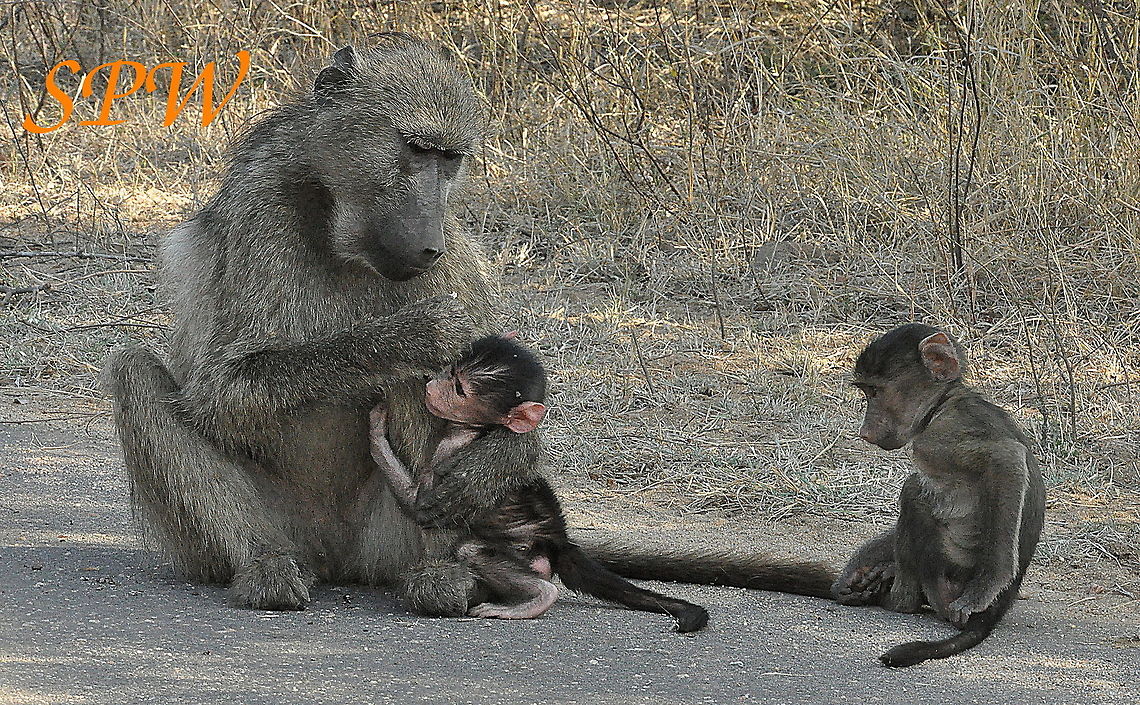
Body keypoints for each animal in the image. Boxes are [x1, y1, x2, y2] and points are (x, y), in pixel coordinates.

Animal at [104, 36, 542, 616]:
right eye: (415, 148)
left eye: (450, 159)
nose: (429, 242)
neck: (345, 232)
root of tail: (334, 559)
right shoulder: (259, 210)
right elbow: (219, 391)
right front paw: (411, 335)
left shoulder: (455, 264)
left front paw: (491, 466)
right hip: (249, 534)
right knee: (133, 369)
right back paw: (266, 566)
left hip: (387, 538)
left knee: (419, 386)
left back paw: (439, 574)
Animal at [369, 334, 710, 632]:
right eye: (452, 370)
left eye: (460, 389)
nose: (432, 386)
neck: (480, 429)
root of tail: (558, 540)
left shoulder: (450, 447)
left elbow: (421, 505)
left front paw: (375, 429)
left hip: (527, 554)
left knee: (473, 550)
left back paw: (539, 597)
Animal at [831, 323, 1045, 667]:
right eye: (865, 392)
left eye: (875, 393)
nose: (864, 432)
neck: (943, 401)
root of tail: (1002, 607)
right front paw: (856, 570)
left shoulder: (942, 435)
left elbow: (1007, 459)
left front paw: (984, 589)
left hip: (945, 577)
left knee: (914, 491)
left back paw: (899, 600)